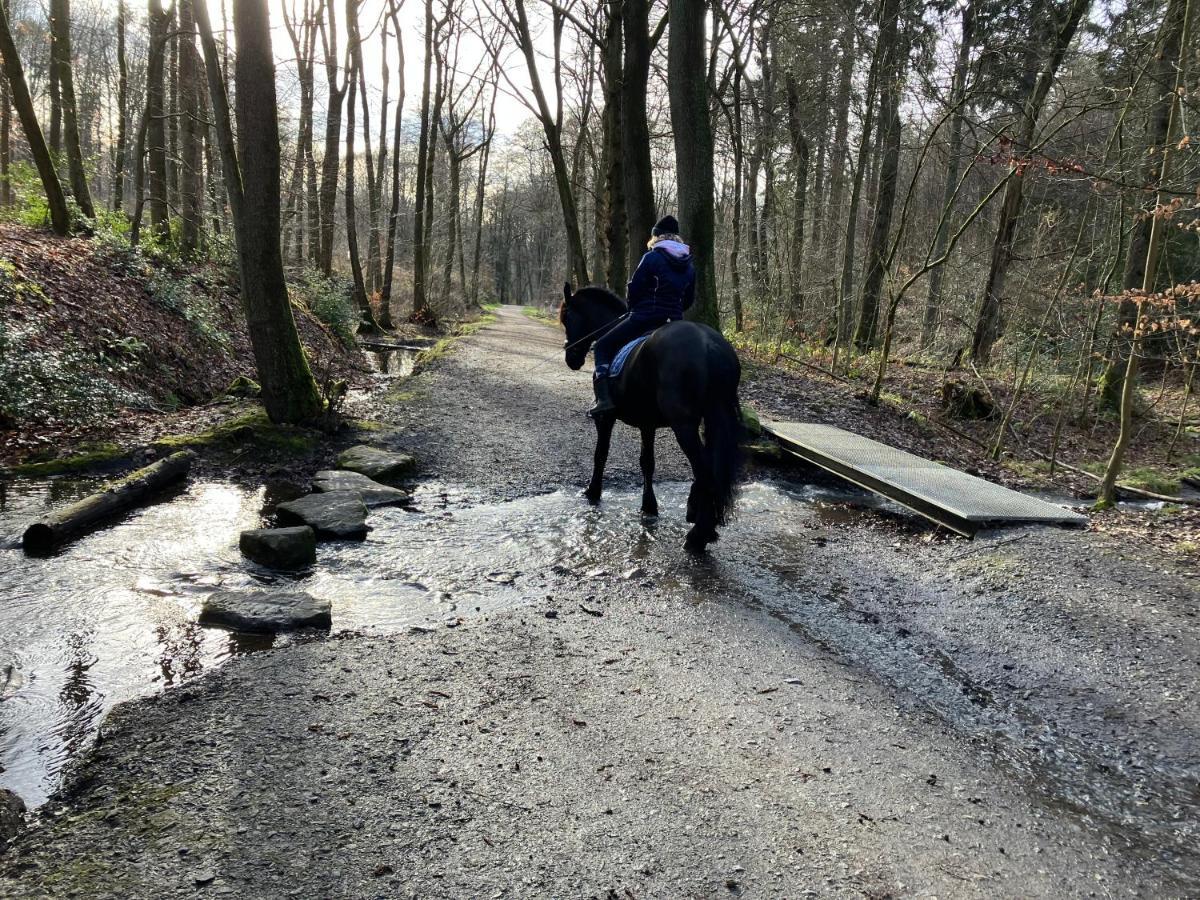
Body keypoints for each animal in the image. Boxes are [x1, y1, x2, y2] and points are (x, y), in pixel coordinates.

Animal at [559, 282, 744, 554]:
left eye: (567, 318)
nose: (571, 358)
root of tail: (710, 345)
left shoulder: (606, 418)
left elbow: (600, 454)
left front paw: (593, 492)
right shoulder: (647, 423)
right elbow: (647, 462)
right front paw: (649, 506)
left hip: (684, 426)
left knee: (704, 469)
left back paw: (698, 534)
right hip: (712, 418)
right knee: (712, 465)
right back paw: (699, 516)